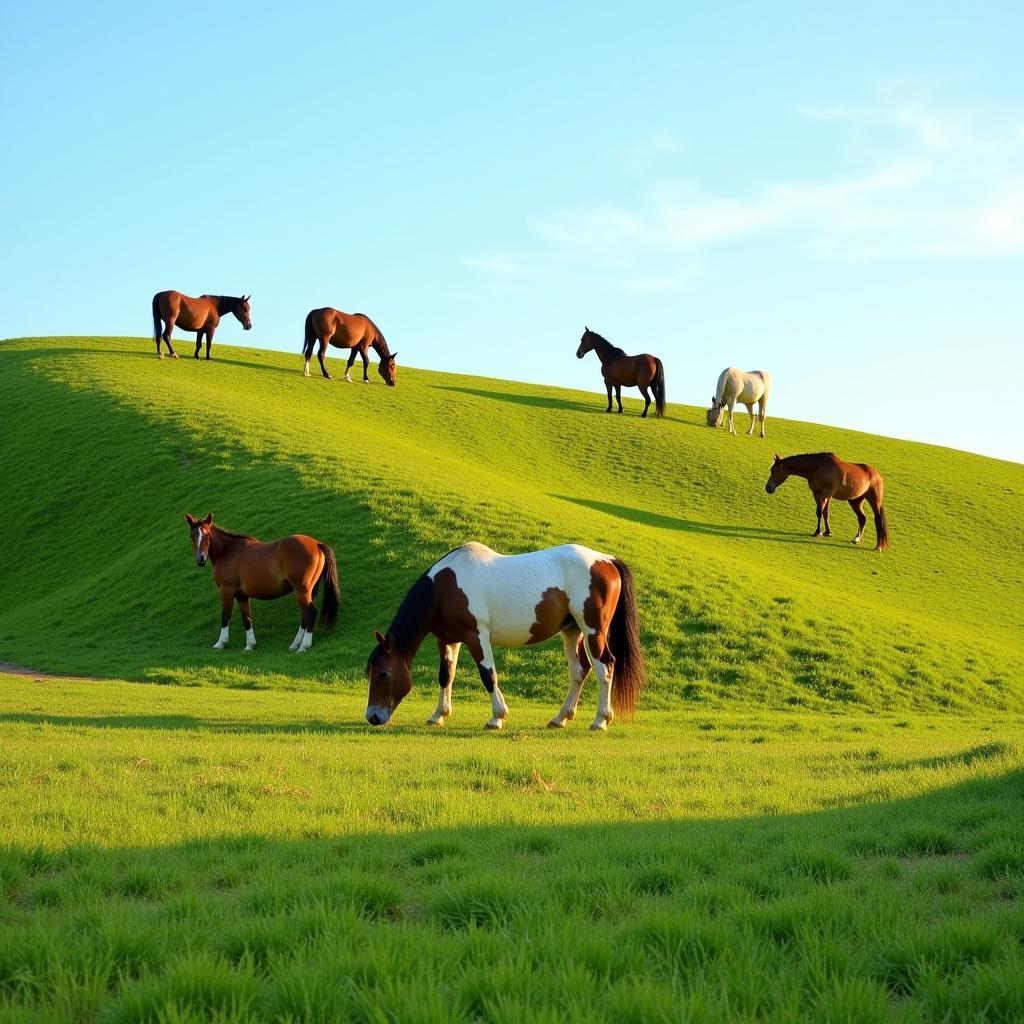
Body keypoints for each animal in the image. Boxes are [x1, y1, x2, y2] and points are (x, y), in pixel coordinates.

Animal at [186, 516, 342, 651]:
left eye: (207, 535)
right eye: (192, 536)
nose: (200, 559)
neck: (228, 551)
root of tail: (316, 544)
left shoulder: (227, 590)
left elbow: (225, 615)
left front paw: (221, 643)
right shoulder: (242, 595)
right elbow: (247, 618)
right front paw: (250, 645)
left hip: (301, 591)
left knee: (310, 613)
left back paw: (304, 646)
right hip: (308, 592)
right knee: (305, 616)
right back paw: (295, 644)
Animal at [364, 544, 643, 729]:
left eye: (383, 674)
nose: (373, 717)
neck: (444, 588)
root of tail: (606, 560)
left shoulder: (476, 635)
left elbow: (488, 675)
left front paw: (497, 717)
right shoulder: (447, 640)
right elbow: (446, 676)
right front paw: (438, 715)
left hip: (593, 630)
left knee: (605, 667)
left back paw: (600, 720)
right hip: (572, 631)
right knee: (579, 670)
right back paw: (560, 718)